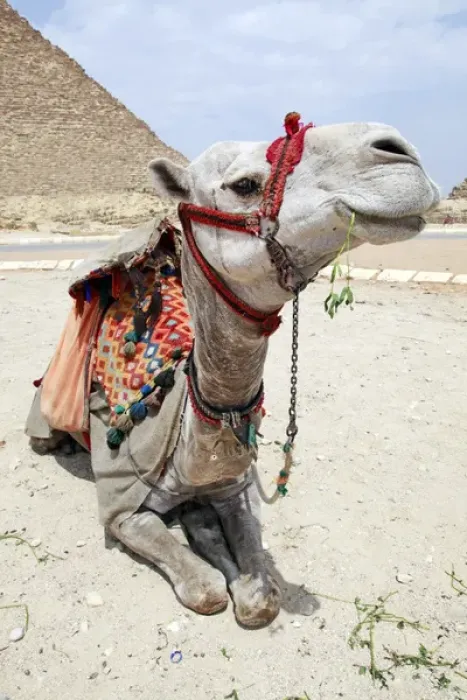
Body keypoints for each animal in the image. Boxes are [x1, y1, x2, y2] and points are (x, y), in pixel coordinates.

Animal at [25, 114, 440, 629]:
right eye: (244, 185)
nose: (398, 151)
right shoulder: (121, 505)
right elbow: (202, 587)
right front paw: (206, 561)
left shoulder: (232, 486)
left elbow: (258, 589)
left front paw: (227, 556)